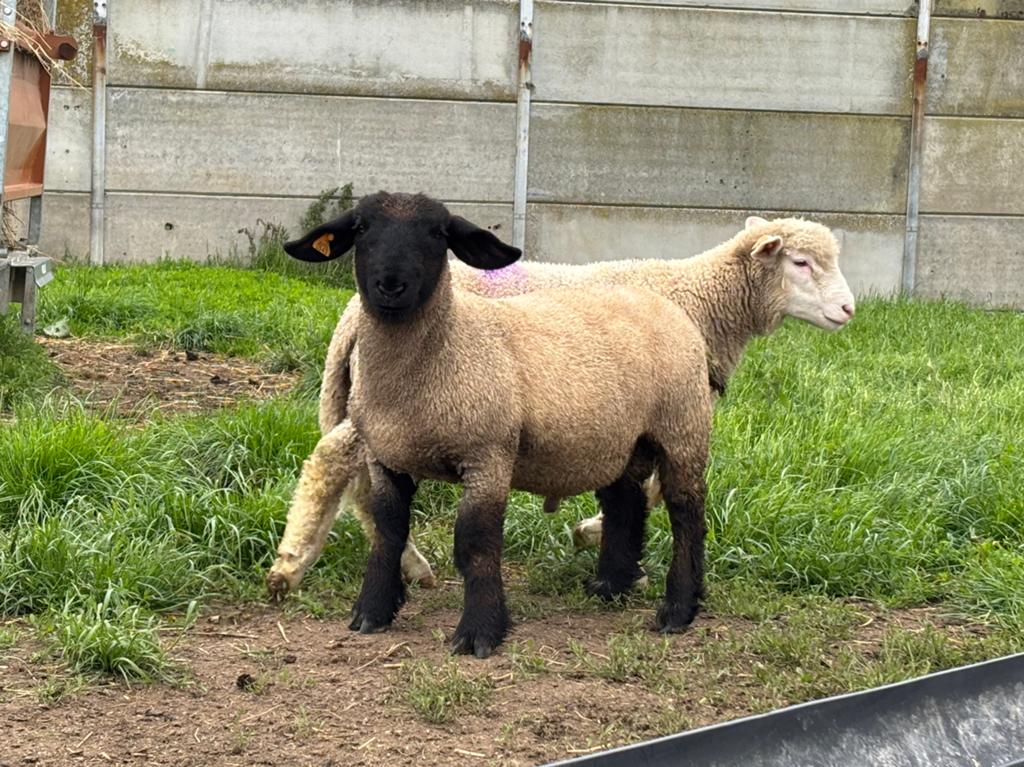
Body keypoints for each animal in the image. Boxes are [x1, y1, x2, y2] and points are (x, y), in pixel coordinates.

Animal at [267, 214, 855, 596]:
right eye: (801, 262)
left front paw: (606, 544)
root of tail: (353, 310)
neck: (700, 301)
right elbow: (654, 486)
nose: (850, 309)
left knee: (362, 481)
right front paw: (597, 537)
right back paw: (294, 564)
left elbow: (646, 485)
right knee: (331, 460)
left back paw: (402, 563)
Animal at [278, 191, 715, 657]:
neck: (445, 347)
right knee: (625, 503)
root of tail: (665, 306)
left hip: (682, 426)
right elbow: (387, 532)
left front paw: (479, 632)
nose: (391, 285)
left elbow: (475, 543)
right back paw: (610, 587)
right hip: (620, 439)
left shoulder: (488, 455)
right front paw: (372, 612)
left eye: (438, 233)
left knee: (686, 513)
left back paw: (678, 609)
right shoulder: (385, 457)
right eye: (361, 229)